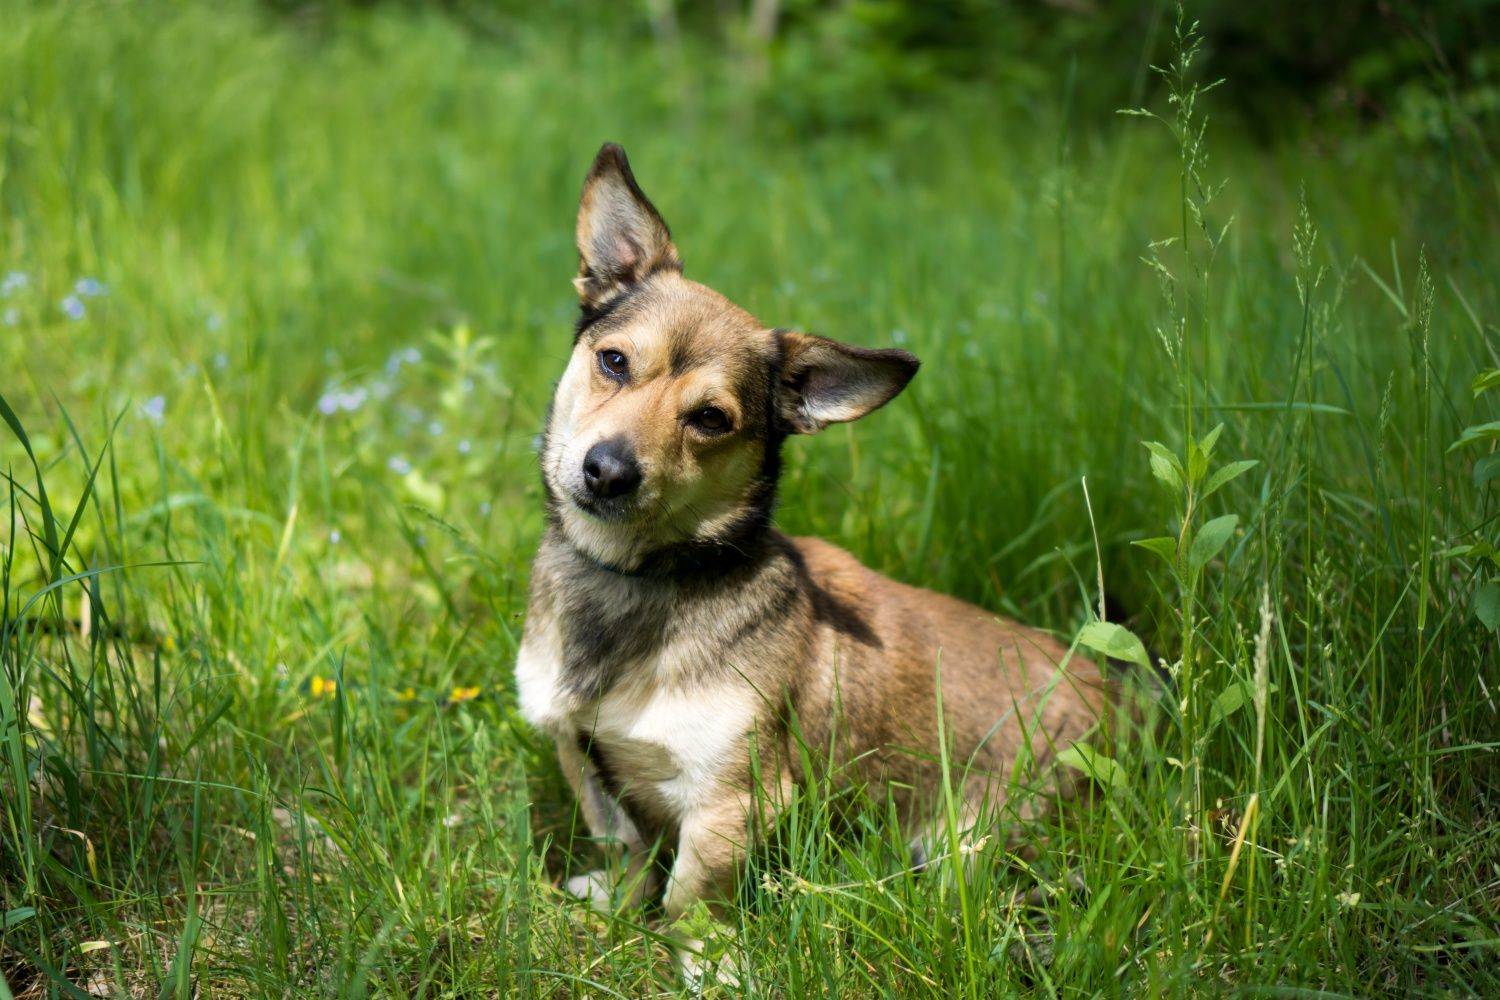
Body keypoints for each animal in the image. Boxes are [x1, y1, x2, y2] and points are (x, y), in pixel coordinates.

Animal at [516, 144, 1116, 983]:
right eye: (613, 362)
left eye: (711, 419)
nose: (607, 472)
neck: (637, 579)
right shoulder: (575, 744)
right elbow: (623, 841)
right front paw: (614, 899)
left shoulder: (737, 801)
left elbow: (689, 894)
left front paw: (707, 965)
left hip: (971, 840)